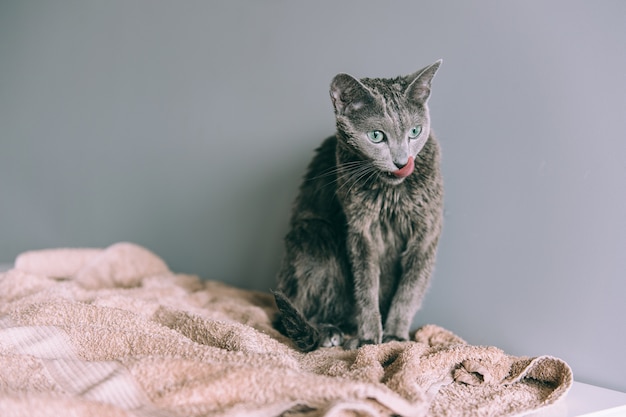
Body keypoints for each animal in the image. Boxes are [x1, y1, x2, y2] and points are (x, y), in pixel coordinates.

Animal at [270, 59, 442, 352]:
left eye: (415, 132)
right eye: (376, 136)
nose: (402, 162)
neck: (392, 195)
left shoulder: (425, 232)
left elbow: (409, 291)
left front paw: (396, 336)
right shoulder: (361, 231)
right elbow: (366, 286)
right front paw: (370, 339)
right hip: (315, 233)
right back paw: (331, 332)